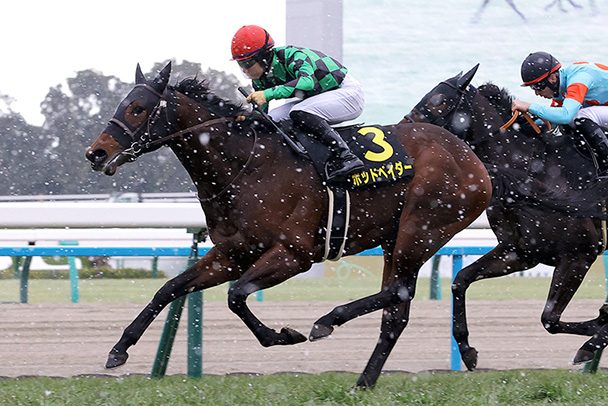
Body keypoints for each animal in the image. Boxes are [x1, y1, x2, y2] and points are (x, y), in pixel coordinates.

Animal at [85, 62, 491, 388]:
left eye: (138, 108)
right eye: (121, 104)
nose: (96, 153)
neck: (246, 164)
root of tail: (470, 156)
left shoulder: (294, 254)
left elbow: (236, 295)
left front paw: (283, 335)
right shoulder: (232, 252)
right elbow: (169, 288)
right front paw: (119, 349)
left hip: (420, 230)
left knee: (400, 291)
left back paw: (328, 321)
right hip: (396, 238)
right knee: (396, 311)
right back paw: (363, 382)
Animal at [404, 64, 608, 370]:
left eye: (438, 100)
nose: (406, 131)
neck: (534, 172)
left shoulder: (579, 255)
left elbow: (550, 319)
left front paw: (592, 339)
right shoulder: (520, 251)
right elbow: (460, 280)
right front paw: (467, 351)